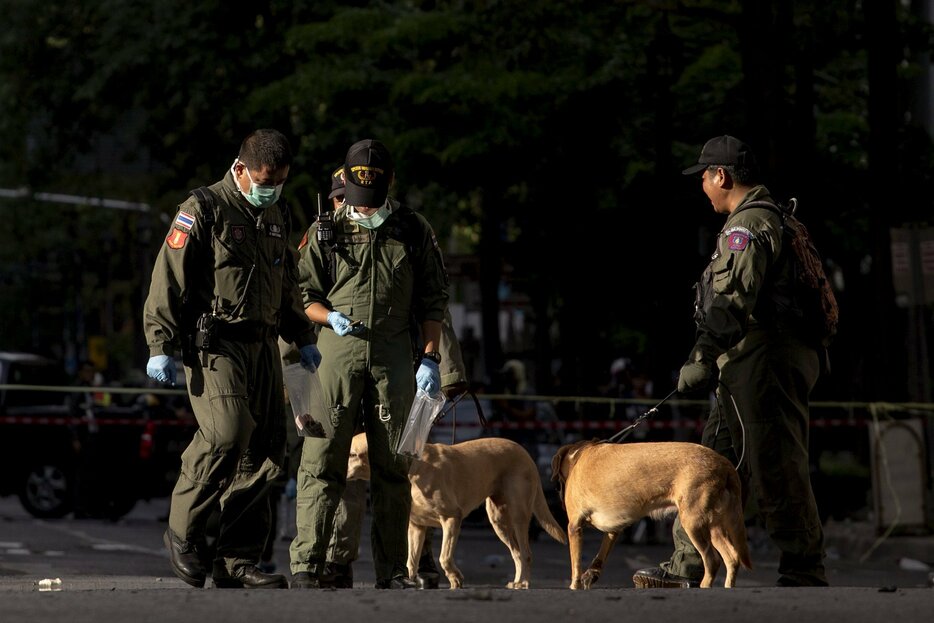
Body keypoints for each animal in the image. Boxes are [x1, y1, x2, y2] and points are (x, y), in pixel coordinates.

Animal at [348, 434, 568, 588]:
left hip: (518, 516)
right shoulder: (416, 527)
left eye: (352, 454)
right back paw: (517, 581)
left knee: (526, 553)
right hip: (498, 520)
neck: (413, 469)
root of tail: (525, 452)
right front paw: (409, 582)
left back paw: (524, 583)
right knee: (517, 554)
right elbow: (411, 561)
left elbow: (444, 557)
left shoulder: (452, 518)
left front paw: (456, 579)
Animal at [556, 438, 752, 588]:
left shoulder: (574, 527)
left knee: (712, 560)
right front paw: (591, 574)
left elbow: (575, 564)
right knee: (732, 558)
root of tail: (724, 464)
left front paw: (575, 585)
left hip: (693, 523)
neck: (580, 455)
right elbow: (600, 554)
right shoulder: (613, 530)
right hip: (714, 526)